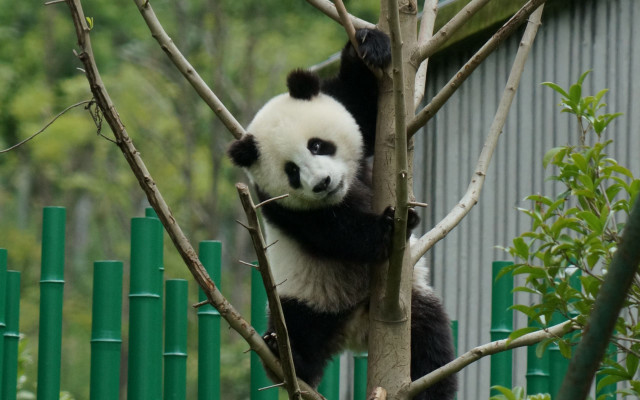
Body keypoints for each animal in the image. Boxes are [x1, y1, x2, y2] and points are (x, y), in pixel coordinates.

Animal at [228, 28, 456, 400]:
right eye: (292, 171)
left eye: (318, 145)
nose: (322, 183)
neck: (346, 191)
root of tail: (354, 333)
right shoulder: (278, 204)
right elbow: (335, 232)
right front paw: (389, 225)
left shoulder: (347, 107)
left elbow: (364, 107)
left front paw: (368, 44)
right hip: (304, 298)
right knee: (295, 328)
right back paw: (287, 356)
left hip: (411, 298)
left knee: (429, 340)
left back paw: (429, 389)